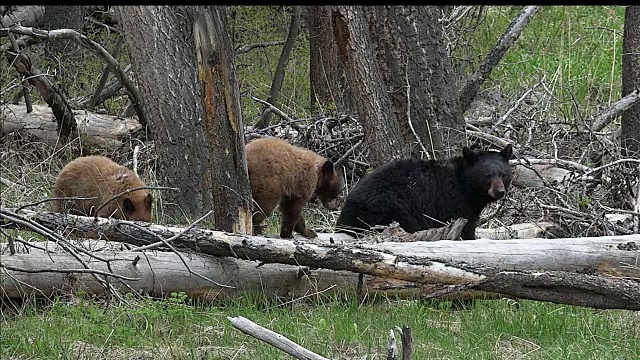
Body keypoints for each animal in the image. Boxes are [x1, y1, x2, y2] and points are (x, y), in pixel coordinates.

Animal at [338, 143, 512, 239]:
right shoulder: (454, 202)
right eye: (487, 176)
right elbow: (466, 227)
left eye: (502, 174)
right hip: (389, 209)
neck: (465, 186)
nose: (500, 192)